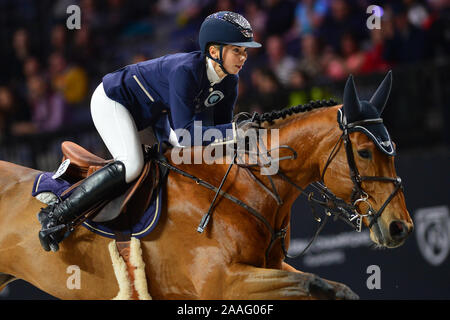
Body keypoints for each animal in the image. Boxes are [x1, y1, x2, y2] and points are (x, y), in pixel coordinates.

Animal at [0, 74, 412, 298]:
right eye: (363, 152)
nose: (400, 228)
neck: (248, 188)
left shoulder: (267, 267)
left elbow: (328, 287)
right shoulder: (225, 283)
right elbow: (311, 283)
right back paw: (51, 224)